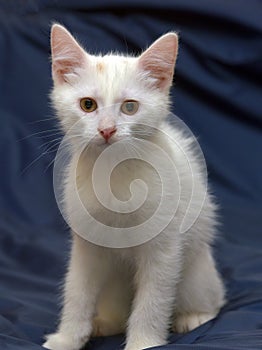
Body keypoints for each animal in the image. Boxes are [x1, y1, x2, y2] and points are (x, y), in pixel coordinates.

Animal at [43, 24, 225, 350]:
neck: (114, 175)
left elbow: (153, 300)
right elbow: (77, 291)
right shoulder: (86, 245)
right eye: (87, 105)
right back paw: (103, 324)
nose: (107, 130)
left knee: (212, 299)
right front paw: (66, 339)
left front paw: (143, 342)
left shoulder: (164, 249)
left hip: (196, 273)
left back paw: (193, 317)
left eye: (130, 107)